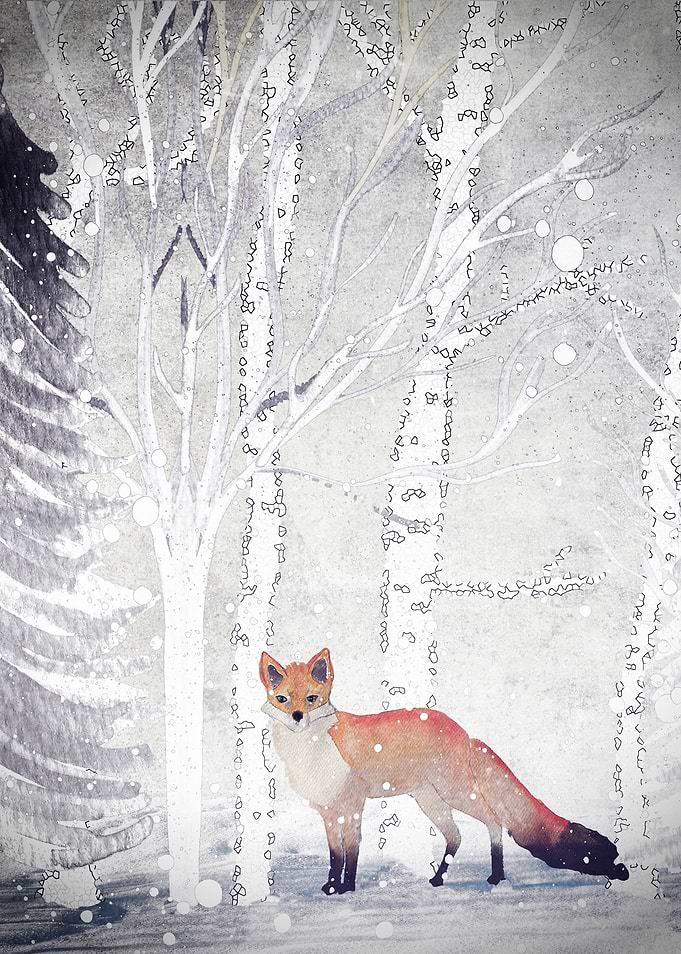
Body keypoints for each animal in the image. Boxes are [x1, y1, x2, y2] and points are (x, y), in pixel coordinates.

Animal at [260, 647, 629, 896]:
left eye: (311, 698)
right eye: (283, 699)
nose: (297, 717)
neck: (311, 752)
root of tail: (464, 732)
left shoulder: (351, 806)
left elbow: (351, 851)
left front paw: (347, 888)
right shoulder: (327, 811)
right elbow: (334, 855)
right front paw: (330, 886)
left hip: (455, 793)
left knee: (494, 821)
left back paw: (497, 877)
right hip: (430, 801)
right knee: (456, 836)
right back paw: (439, 879)